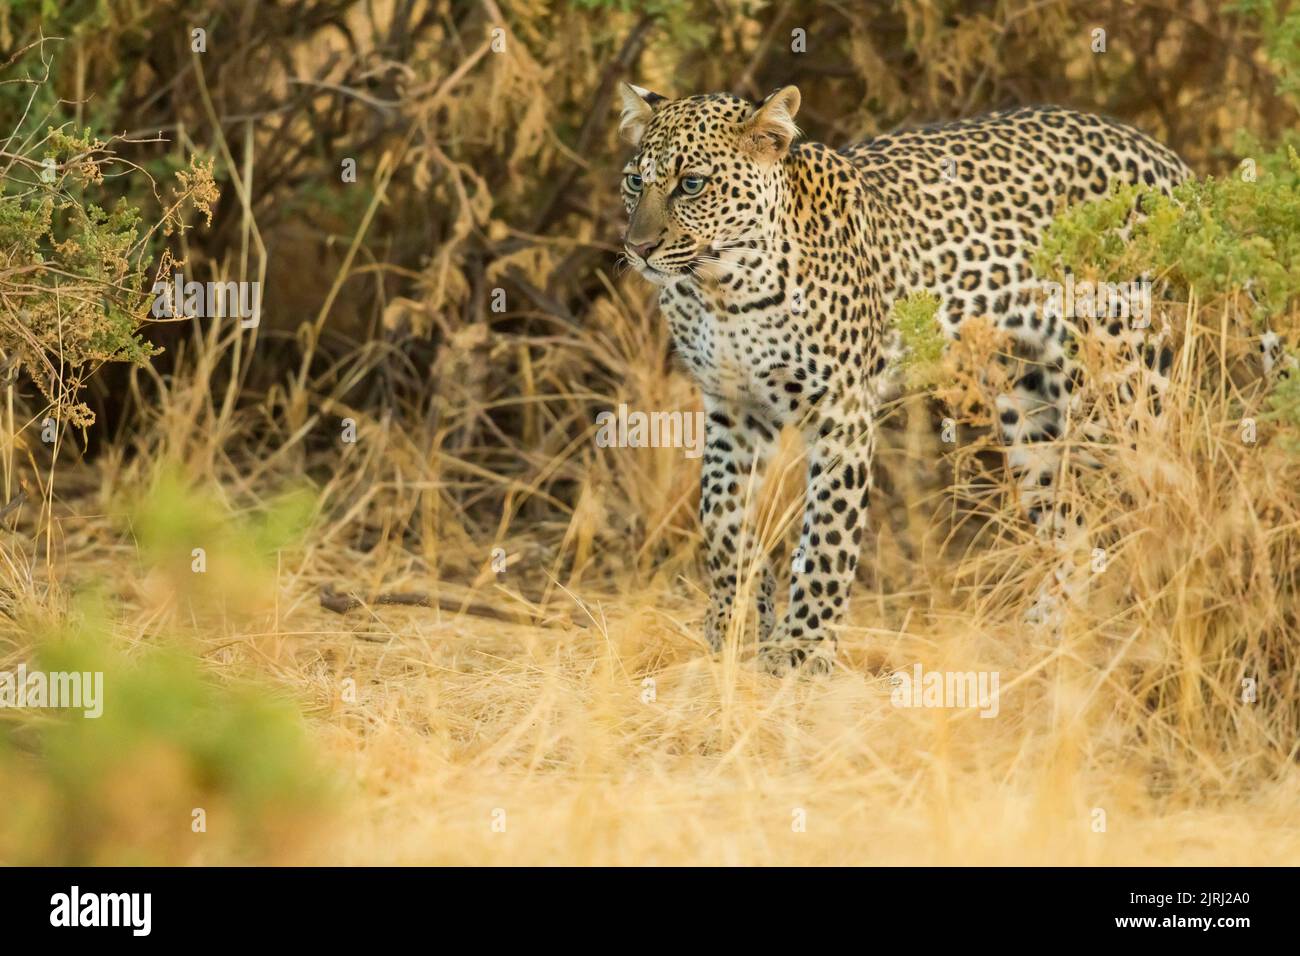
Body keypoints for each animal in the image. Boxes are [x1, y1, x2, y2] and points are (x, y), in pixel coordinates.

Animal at [616, 82, 1198, 675]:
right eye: (635, 181)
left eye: (692, 184)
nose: (637, 248)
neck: (723, 290)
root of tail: (1163, 157)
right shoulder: (731, 407)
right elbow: (720, 516)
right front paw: (736, 622)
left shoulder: (841, 413)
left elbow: (827, 538)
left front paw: (801, 648)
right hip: (1029, 399)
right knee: (1075, 526)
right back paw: (1040, 637)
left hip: (1121, 388)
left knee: (1159, 503)